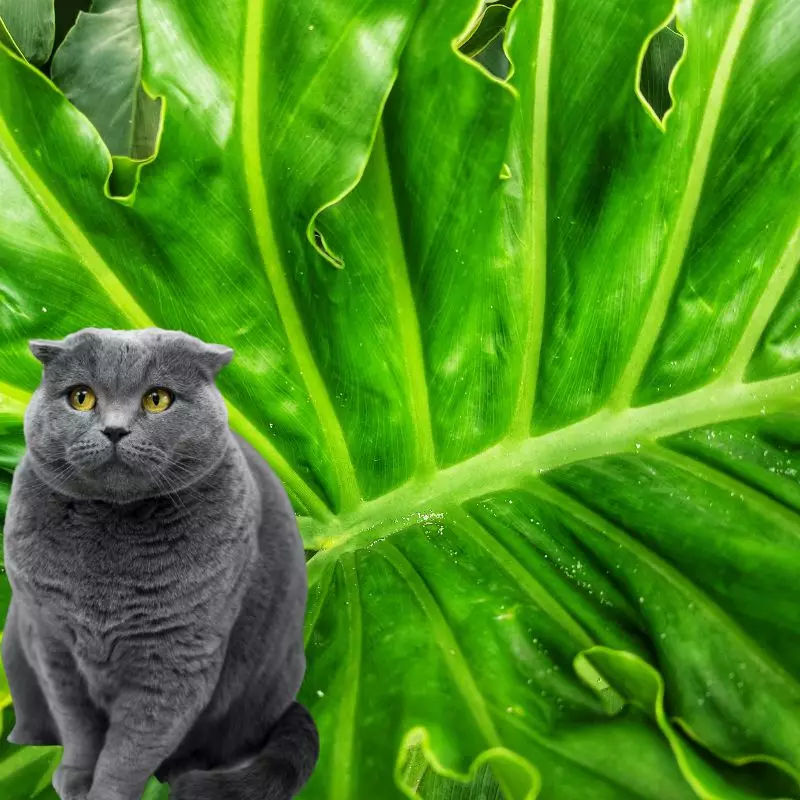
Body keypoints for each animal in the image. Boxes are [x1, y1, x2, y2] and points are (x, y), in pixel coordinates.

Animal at [0, 326, 318, 800]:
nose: (115, 429)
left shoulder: (175, 657)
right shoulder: (53, 645)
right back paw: (25, 737)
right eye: (81, 397)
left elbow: (131, 748)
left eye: (157, 399)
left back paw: (185, 771)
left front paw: (104, 792)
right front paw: (76, 776)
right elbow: (78, 727)